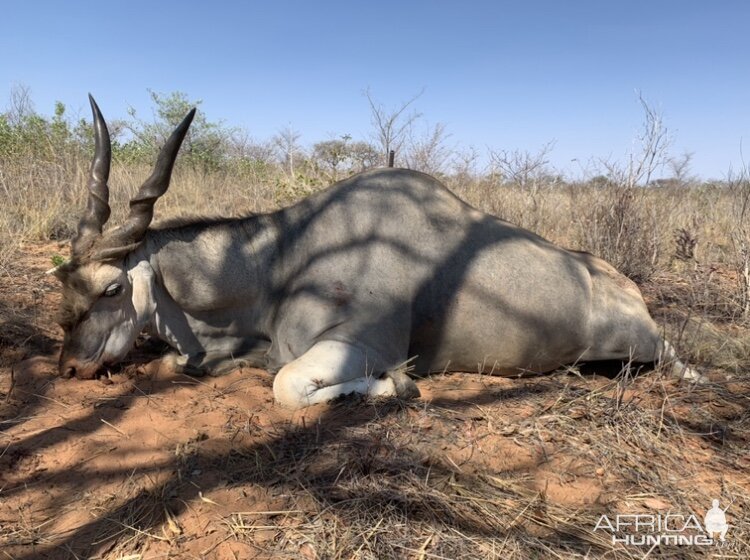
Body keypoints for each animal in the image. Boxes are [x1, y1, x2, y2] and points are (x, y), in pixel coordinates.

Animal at [54, 96, 704, 410]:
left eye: (112, 288)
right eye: (63, 282)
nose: (69, 368)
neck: (283, 262)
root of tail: (626, 288)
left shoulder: (356, 347)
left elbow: (287, 386)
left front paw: (401, 387)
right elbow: (187, 364)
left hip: (645, 347)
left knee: (677, 363)